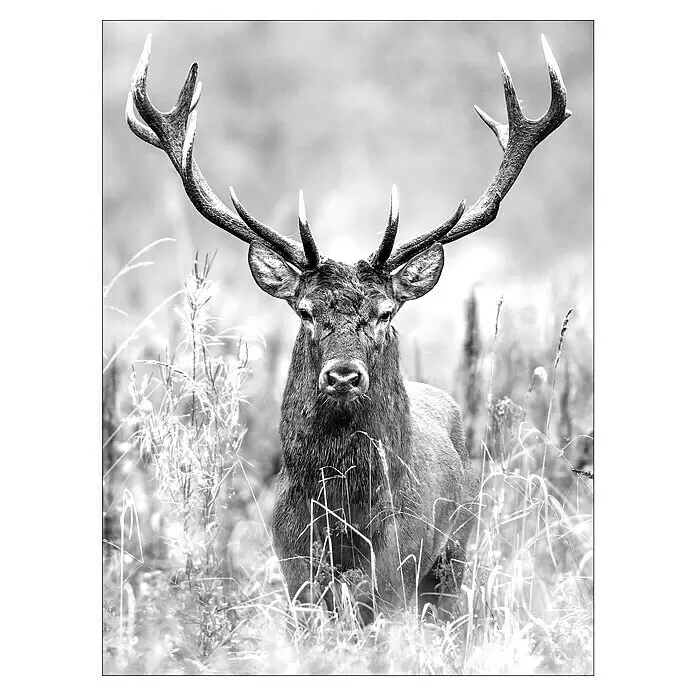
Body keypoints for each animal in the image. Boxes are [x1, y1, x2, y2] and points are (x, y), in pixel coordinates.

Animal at [126, 33, 570, 621]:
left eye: (384, 312)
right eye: (306, 311)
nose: (342, 376)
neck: (342, 506)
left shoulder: (399, 562)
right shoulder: (292, 562)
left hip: (456, 551)